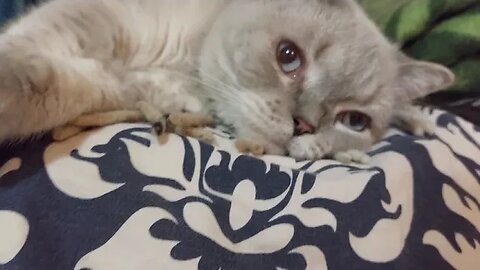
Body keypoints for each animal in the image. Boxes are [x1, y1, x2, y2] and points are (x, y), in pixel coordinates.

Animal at [0, 0, 454, 162]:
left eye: (354, 121)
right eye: (288, 56)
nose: (303, 125)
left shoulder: (120, 84)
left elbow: (52, 89)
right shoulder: (95, 20)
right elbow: (30, 71)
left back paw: (421, 121)